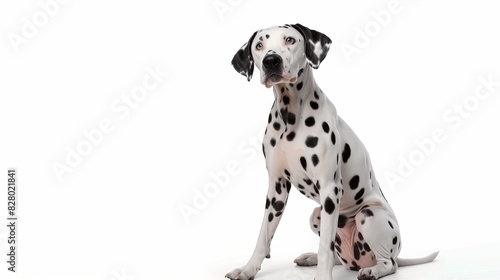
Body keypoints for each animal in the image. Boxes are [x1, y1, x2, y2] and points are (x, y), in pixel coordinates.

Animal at [226, 24, 438, 280]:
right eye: (259, 45)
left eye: (290, 40)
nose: (271, 61)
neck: (291, 116)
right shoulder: (276, 189)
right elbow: (263, 236)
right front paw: (247, 269)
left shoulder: (329, 188)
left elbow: (324, 247)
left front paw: (323, 277)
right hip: (316, 215)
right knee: (339, 257)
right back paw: (311, 258)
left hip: (369, 216)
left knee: (389, 263)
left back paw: (372, 270)